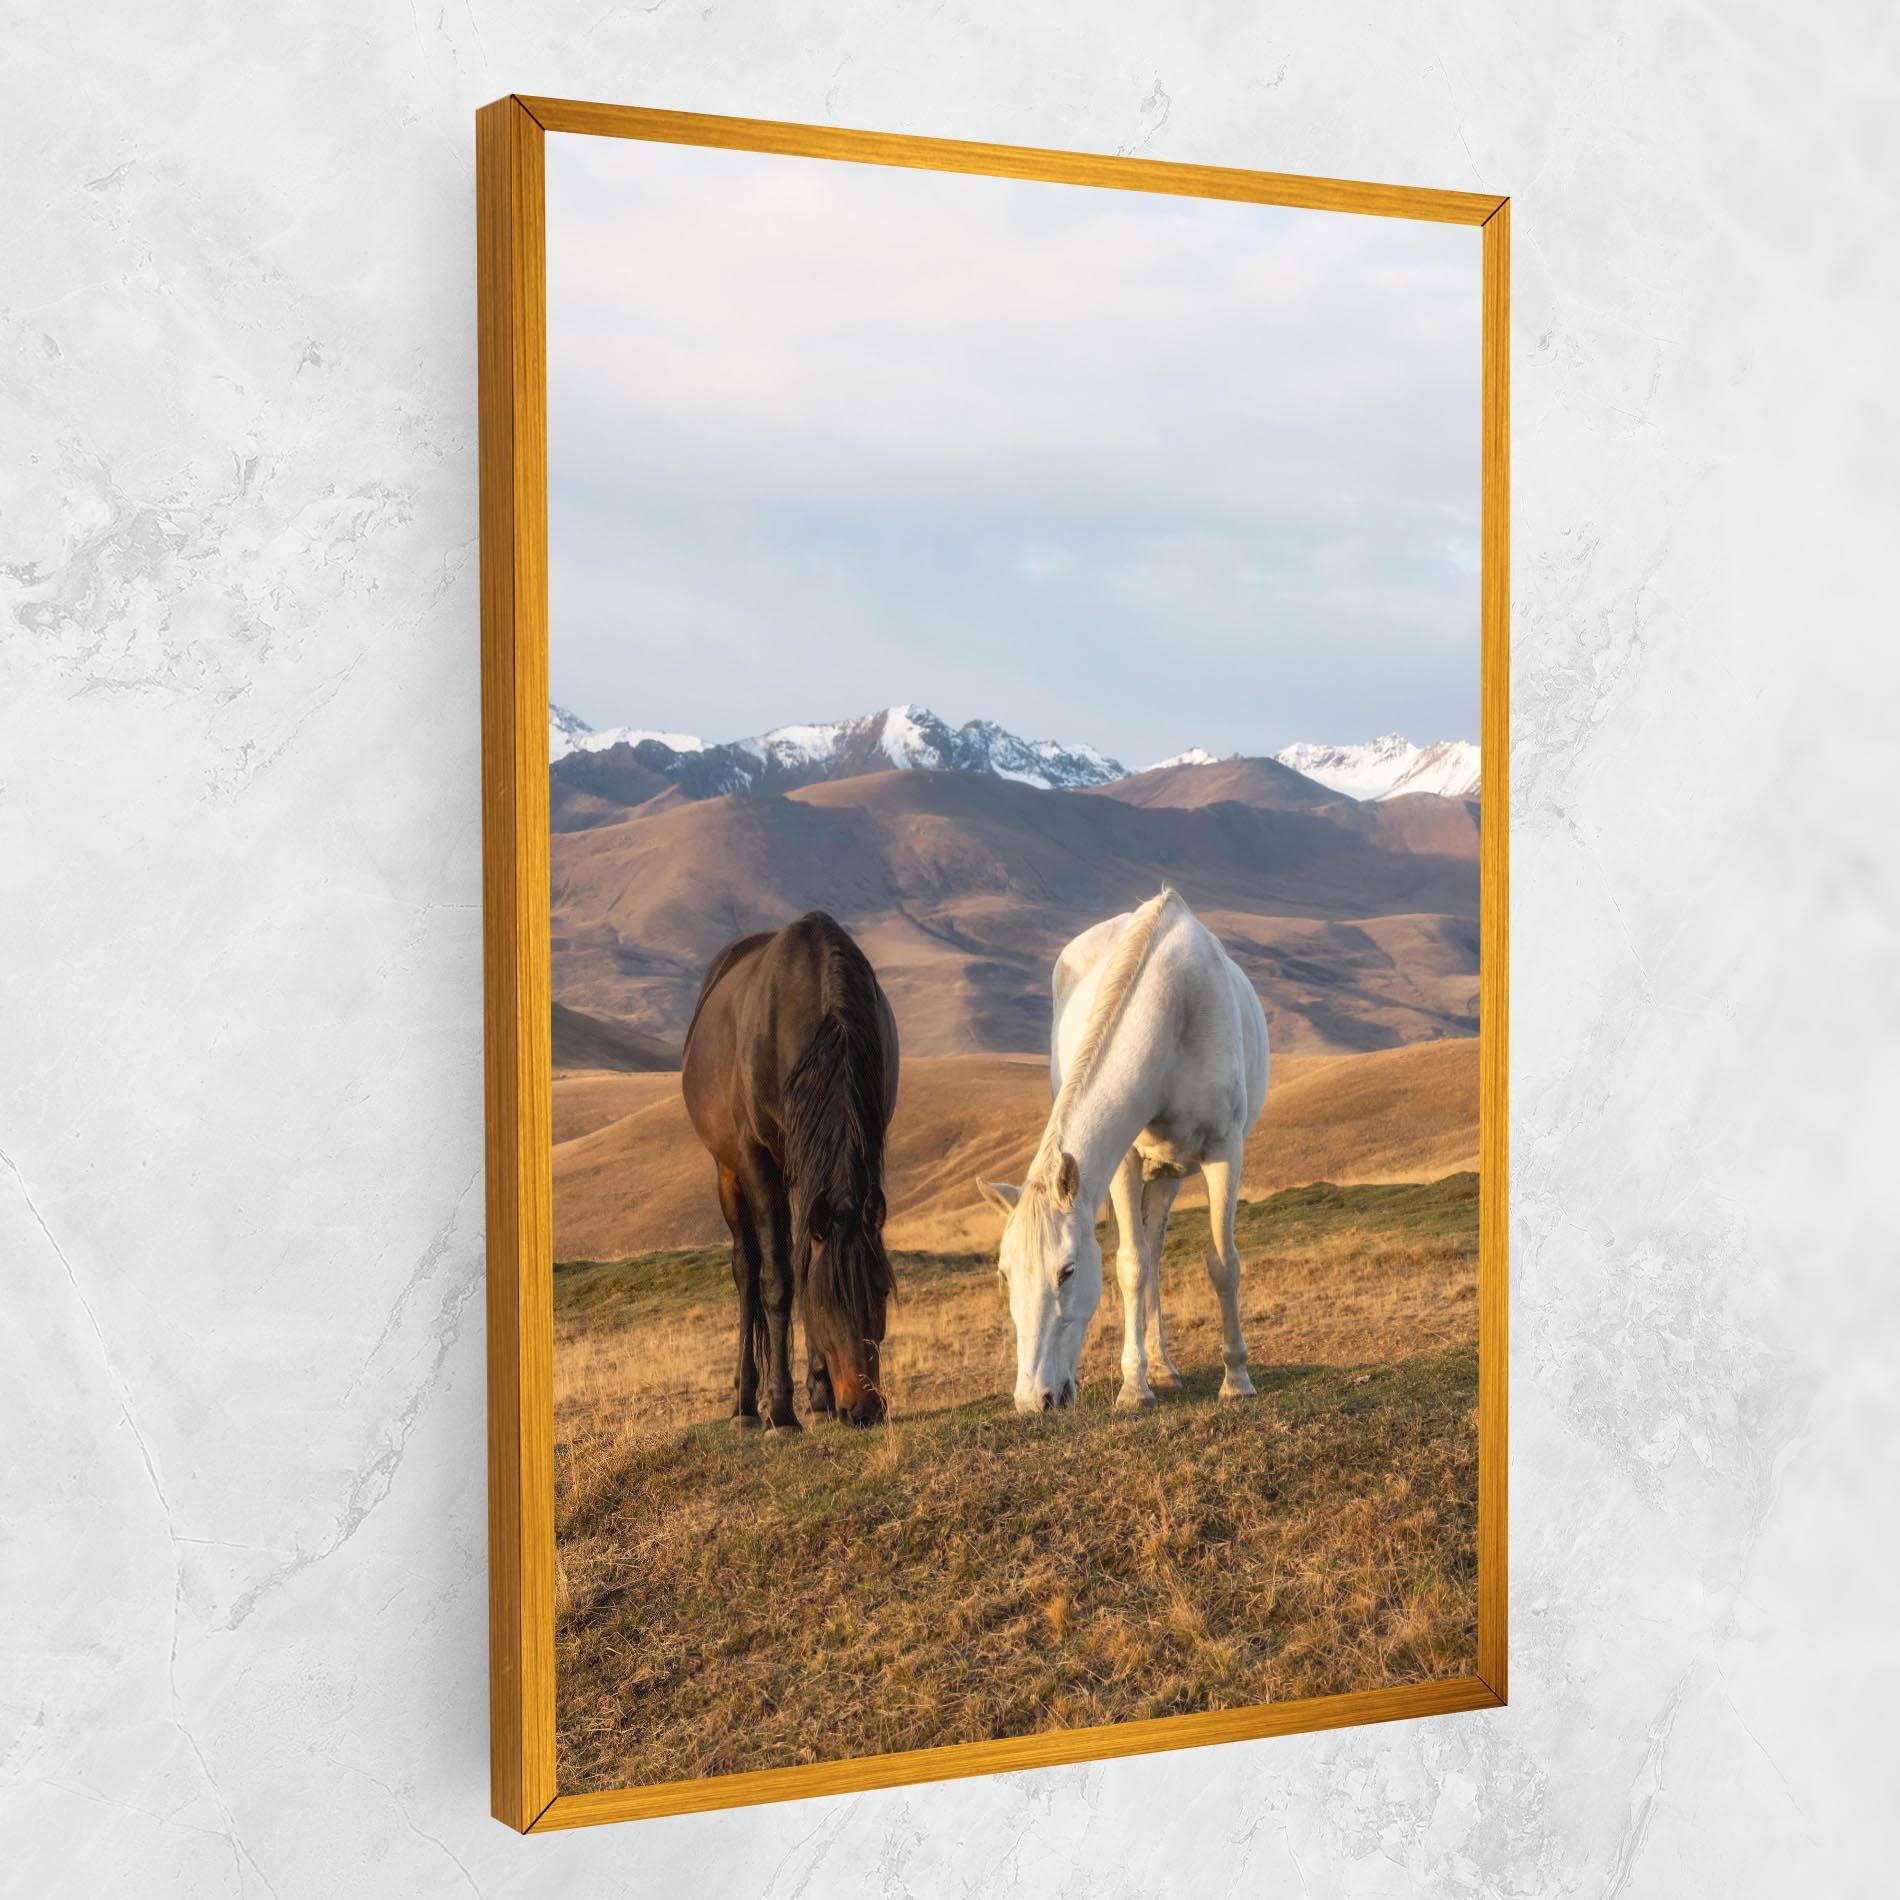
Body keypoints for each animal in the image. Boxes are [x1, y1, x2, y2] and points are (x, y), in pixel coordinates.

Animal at [681, 911, 900, 1429]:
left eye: (882, 1291)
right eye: (824, 1302)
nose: (863, 1409)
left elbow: (803, 1260)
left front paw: (819, 1399)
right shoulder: (757, 1161)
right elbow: (779, 1280)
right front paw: (781, 1412)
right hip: (728, 1173)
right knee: (747, 1272)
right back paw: (746, 1405)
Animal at [977, 887, 1270, 1415]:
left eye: (1067, 1271)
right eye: (1005, 1274)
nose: (1034, 1399)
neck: (1173, 1009)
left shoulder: (1224, 1151)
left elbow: (1224, 1263)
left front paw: (1236, 1379)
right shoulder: (1125, 1162)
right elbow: (1131, 1265)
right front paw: (1135, 1387)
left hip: (1173, 1171)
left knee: (1160, 1248)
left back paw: (1169, 1367)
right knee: (1146, 1255)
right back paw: (1157, 1369)